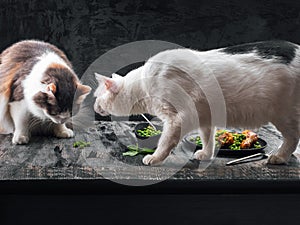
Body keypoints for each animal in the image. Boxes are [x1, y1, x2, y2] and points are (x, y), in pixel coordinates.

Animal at [94, 40, 300, 165]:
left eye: (97, 96)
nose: (94, 106)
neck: (144, 84)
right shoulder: (205, 117)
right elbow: (208, 138)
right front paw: (205, 155)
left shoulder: (179, 118)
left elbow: (166, 141)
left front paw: (154, 158)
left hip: (284, 113)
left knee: (293, 137)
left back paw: (279, 157)